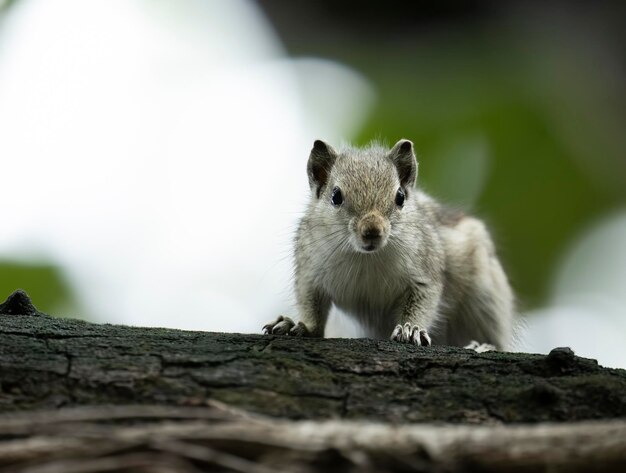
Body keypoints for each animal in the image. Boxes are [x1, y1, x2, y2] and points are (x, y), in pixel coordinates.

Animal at [260, 138, 510, 348]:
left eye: (400, 197)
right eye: (335, 196)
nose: (372, 230)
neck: (365, 257)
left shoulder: (425, 272)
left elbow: (423, 303)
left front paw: (411, 329)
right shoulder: (309, 272)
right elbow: (311, 306)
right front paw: (298, 325)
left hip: (484, 299)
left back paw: (481, 346)